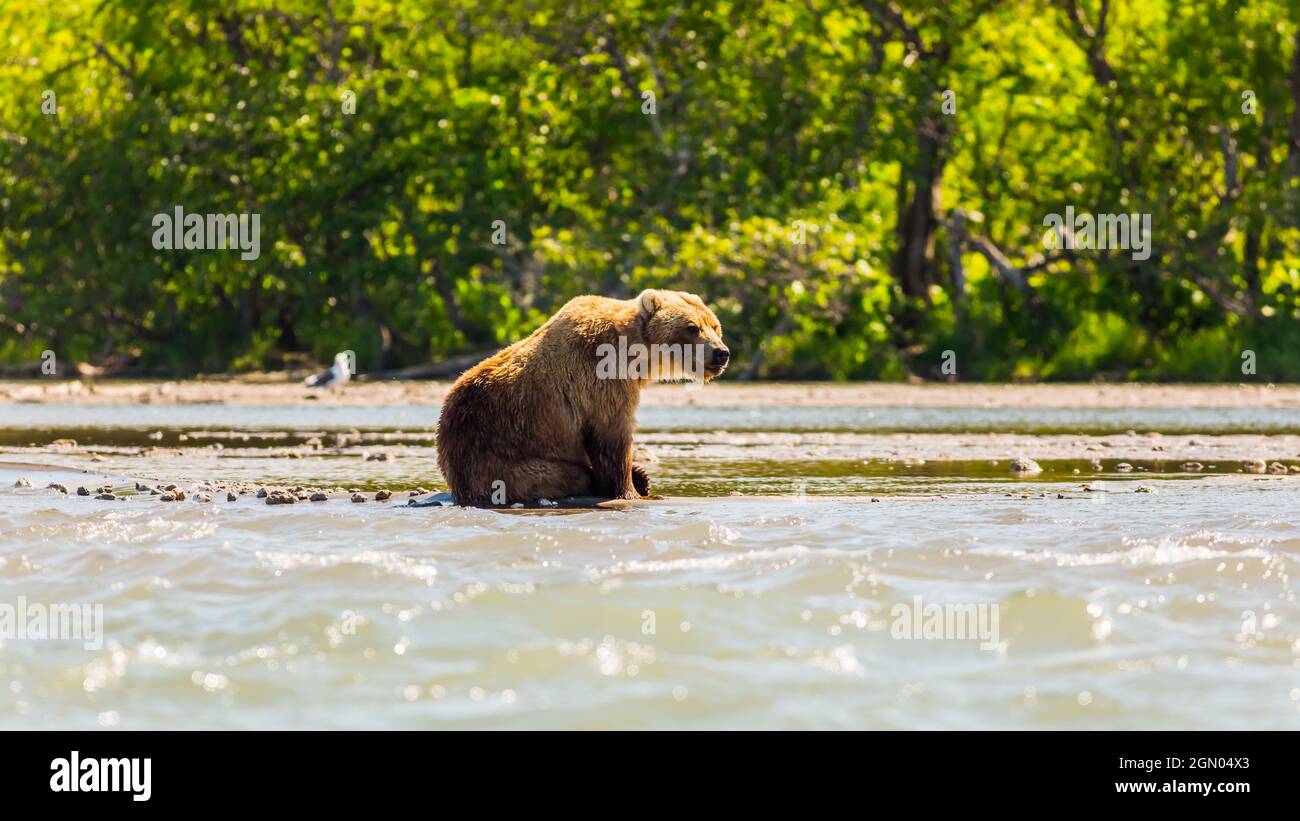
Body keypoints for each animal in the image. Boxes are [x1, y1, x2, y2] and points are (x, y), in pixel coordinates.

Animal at [436, 289, 729, 505]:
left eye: (715, 326)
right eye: (691, 327)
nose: (721, 353)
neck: (635, 358)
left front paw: (638, 479)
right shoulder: (601, 379)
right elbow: (611, 437)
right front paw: (631, 490)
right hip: (502, 461)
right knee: (569, 476)